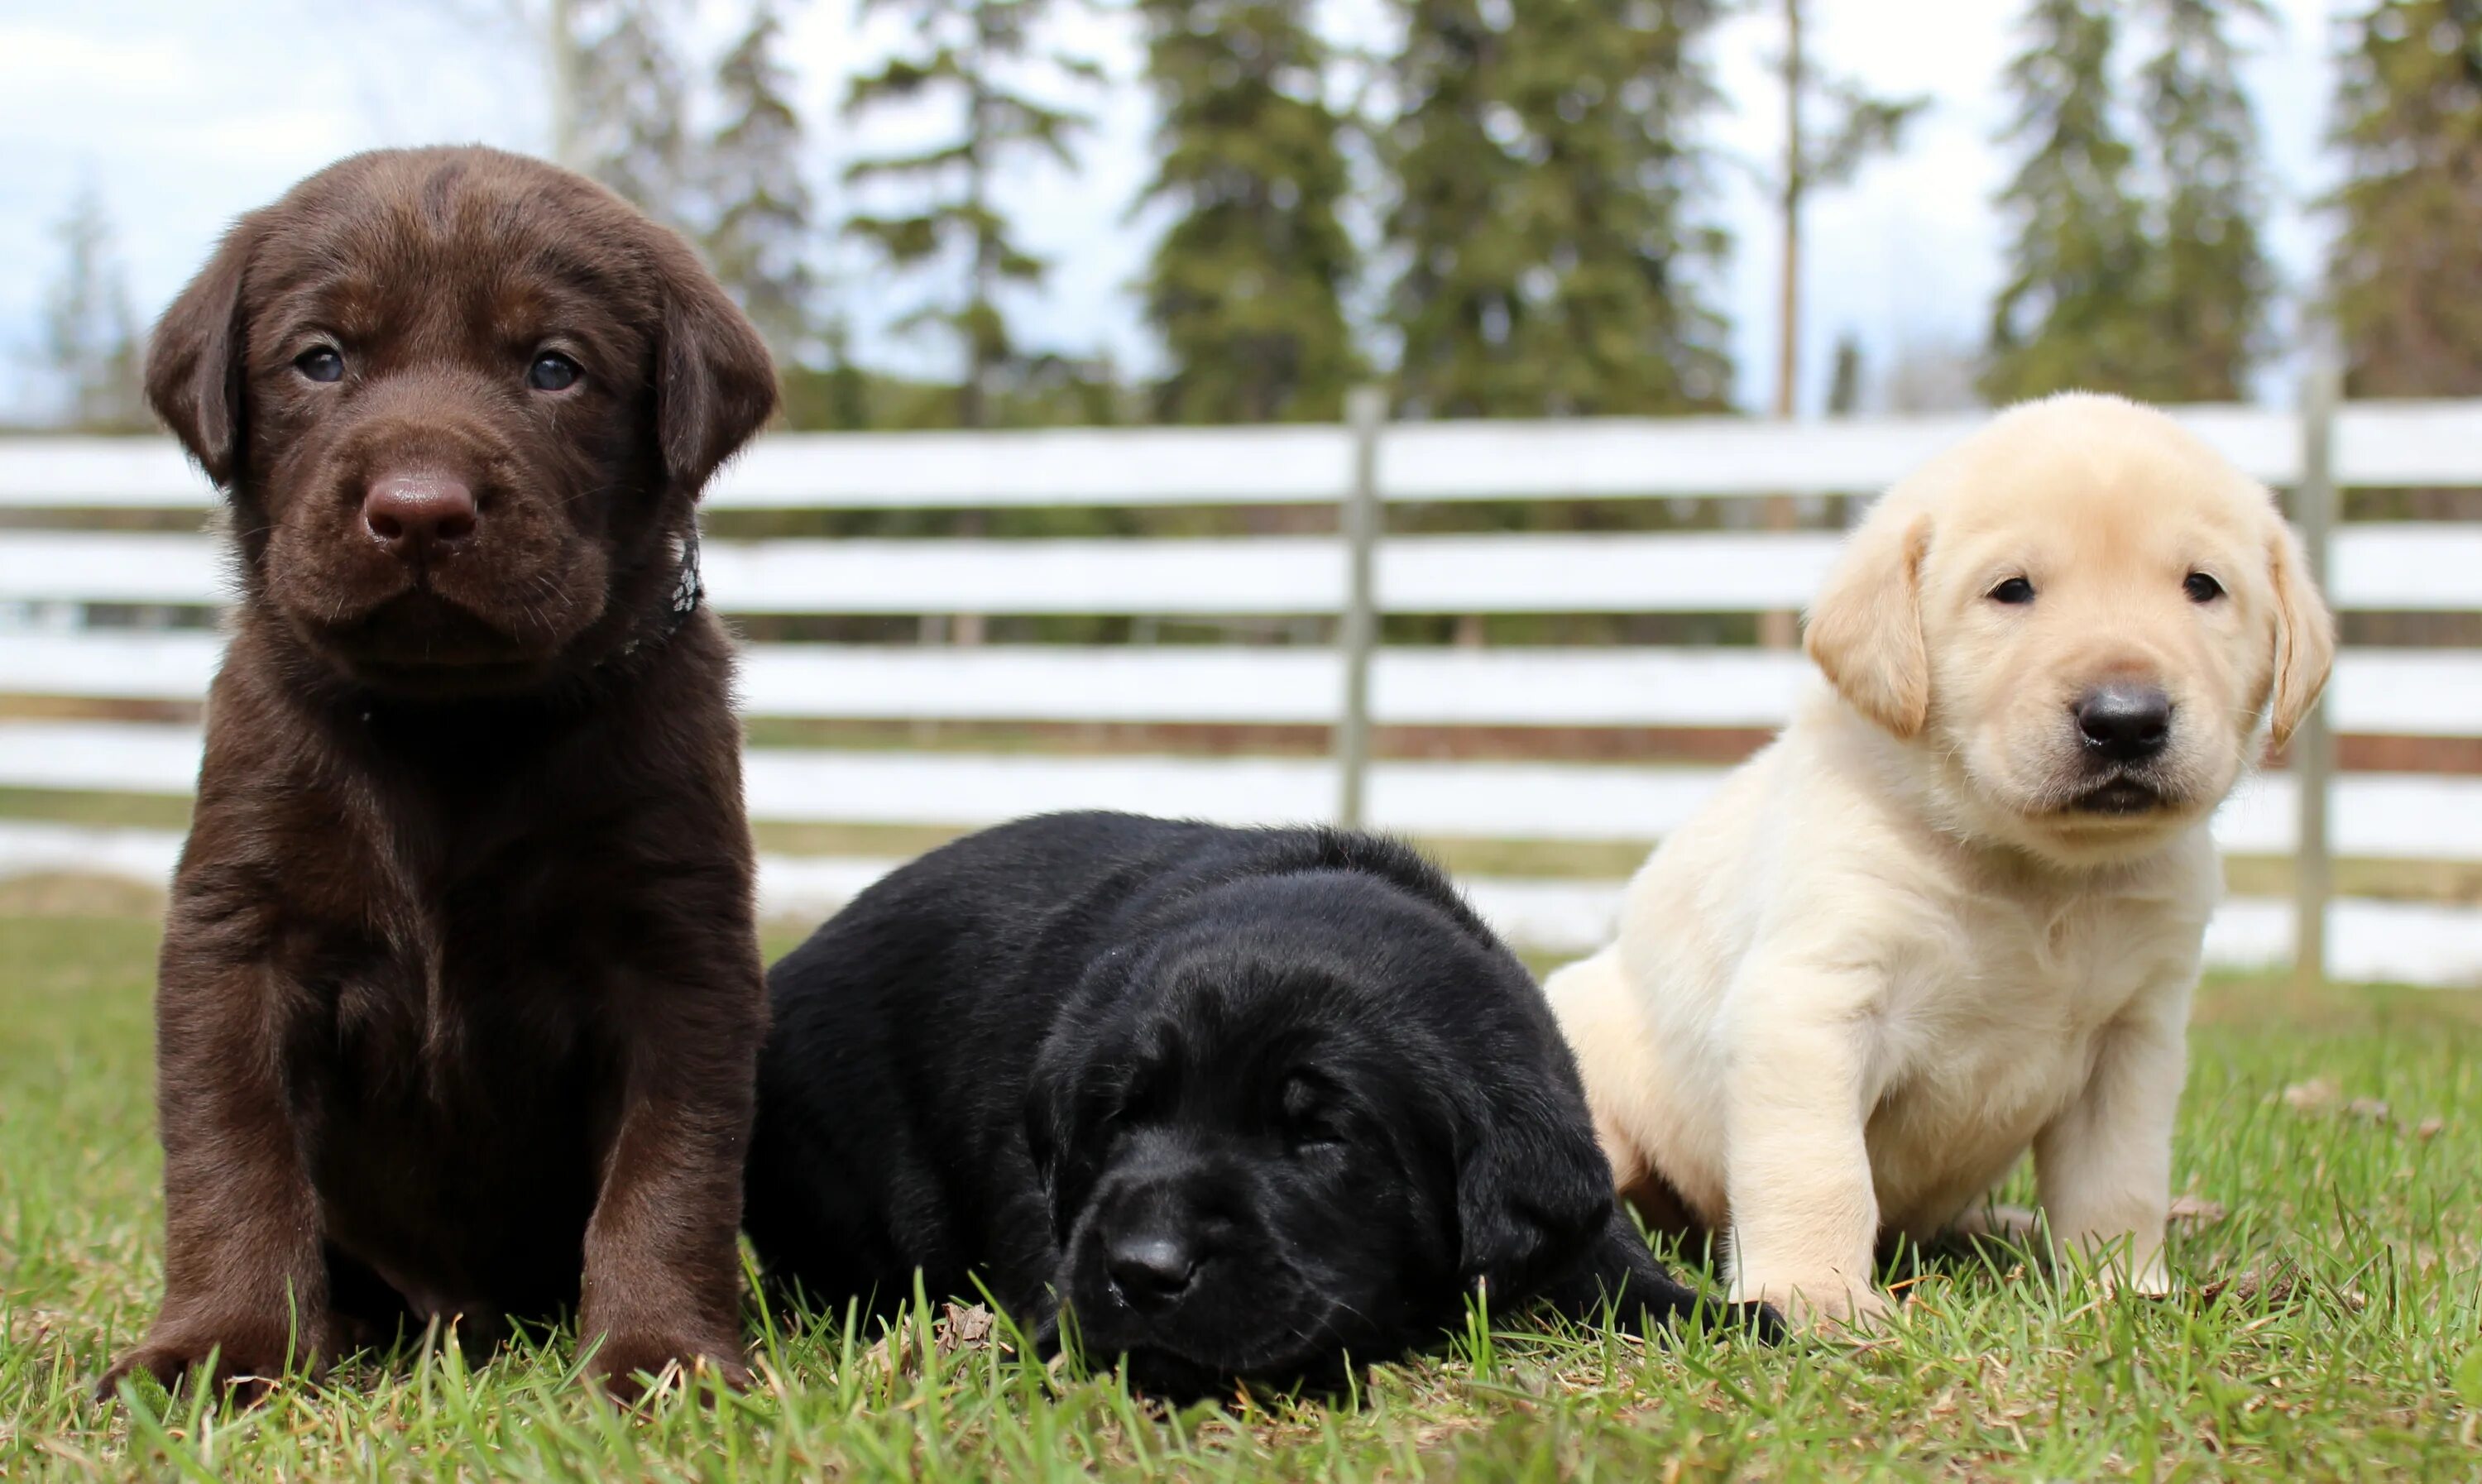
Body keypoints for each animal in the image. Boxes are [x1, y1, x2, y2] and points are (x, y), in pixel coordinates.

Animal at [1539, 392, 2333, 1330]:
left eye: (2203, 587)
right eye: (2012, 590)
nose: (2126, 718)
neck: (2039, 875)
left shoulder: (2134, 1037)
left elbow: (2119, 1180)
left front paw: (2122, 1290)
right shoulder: (1811, 1004)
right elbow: (1818, 1172)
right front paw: (1815, 1298)